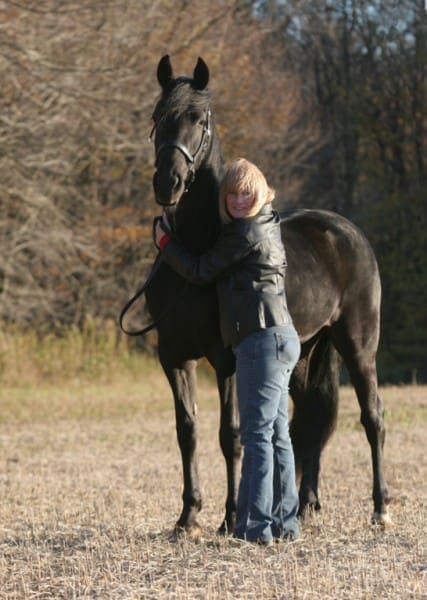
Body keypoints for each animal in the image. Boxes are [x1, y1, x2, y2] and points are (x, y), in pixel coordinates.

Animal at [144, 55, 392, 536]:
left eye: (199, 119)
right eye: (157, 117)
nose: (169, 183)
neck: (196, 250)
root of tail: (346, 232)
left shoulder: (225, 360)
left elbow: (230, 435)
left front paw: (227, 519)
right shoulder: (174, 358)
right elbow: (188, 431)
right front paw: (188, 517)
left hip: (358, 346)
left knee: (372, 417)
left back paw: (380, 507)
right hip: (305, 353)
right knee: (309, 420)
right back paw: (307, 504)